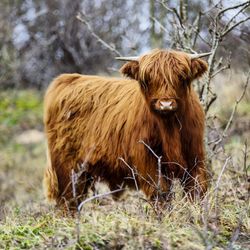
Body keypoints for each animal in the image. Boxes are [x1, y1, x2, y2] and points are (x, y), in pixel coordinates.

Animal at [43, 49, 209, 211]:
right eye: (147, 79)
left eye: (181, 76)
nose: (166, 104)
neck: (169, 128)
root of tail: (68, 79)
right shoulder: (148, 162)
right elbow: (160, 194)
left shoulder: (195, 159)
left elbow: (197, 190)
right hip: (67, 169)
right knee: (68, 202)